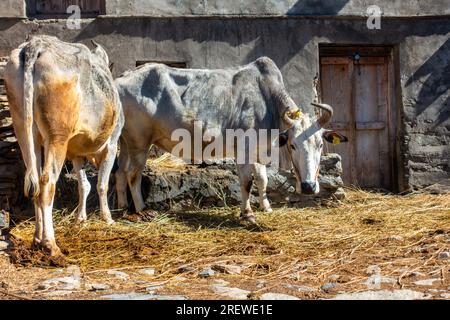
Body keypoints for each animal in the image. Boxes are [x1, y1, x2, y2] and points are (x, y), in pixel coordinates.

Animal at [5, 35, 125, 256]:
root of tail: (36, 44)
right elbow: (101, 184)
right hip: (57, 137)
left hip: (24, 130)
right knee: (46, 183)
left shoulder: (76, 153)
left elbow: (83, 185)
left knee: (35, 181)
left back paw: (37, 239)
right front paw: (107, 218)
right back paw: (50, 244)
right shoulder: (112, 144)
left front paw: (80, 219)